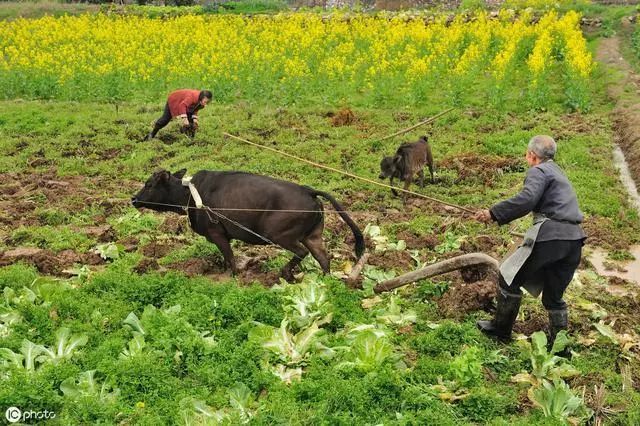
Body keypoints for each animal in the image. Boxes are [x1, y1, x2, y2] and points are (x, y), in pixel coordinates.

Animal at [132, 168, 362, 282]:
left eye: (149, 184)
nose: (133, 199)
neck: (190, 194)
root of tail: (308, 191)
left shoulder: (217, 233)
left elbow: (230, 257)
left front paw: (234, 277)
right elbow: (227, 259)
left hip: (280, 235)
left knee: (301, 252)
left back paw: (285, 273)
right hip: (312, 236)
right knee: (323, 258)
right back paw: (323, 282)